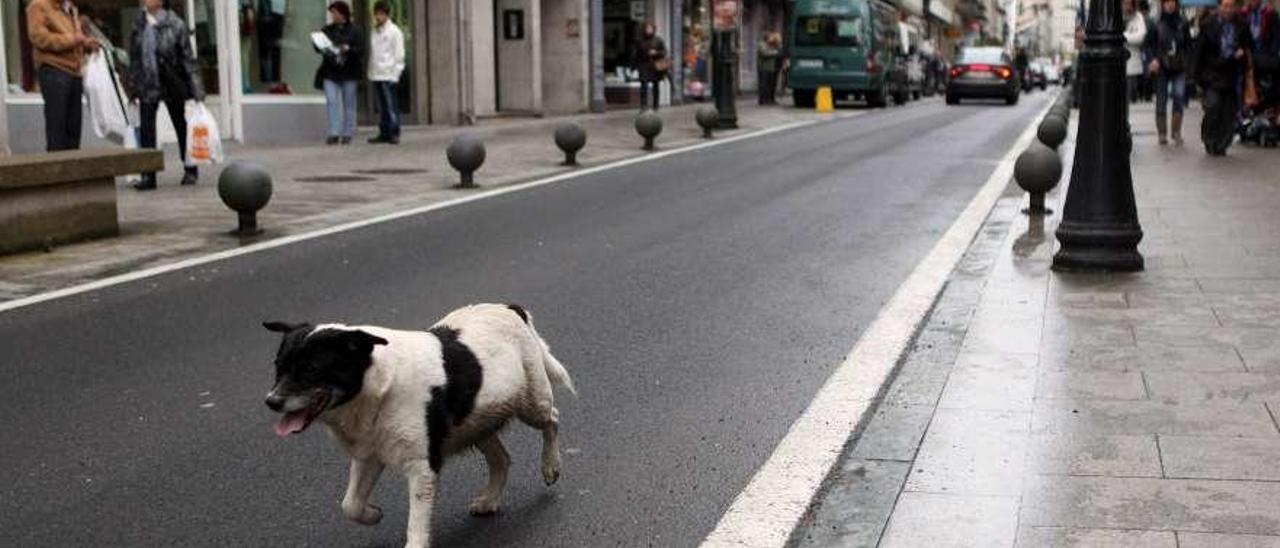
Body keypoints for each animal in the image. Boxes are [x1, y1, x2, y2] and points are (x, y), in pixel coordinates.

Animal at [264, 303, 576, 548]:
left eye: (311, 369)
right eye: (278, 366)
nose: (271, 401)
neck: (376, 383)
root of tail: (510, 307)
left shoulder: (421, 466)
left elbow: (416, 523)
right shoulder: (369, 455)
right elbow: (350, 505)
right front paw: (373, 514)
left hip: (531, 404)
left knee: (552, 419)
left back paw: (551, 466)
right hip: (476, 421)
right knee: (501, 458)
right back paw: (490, 500)